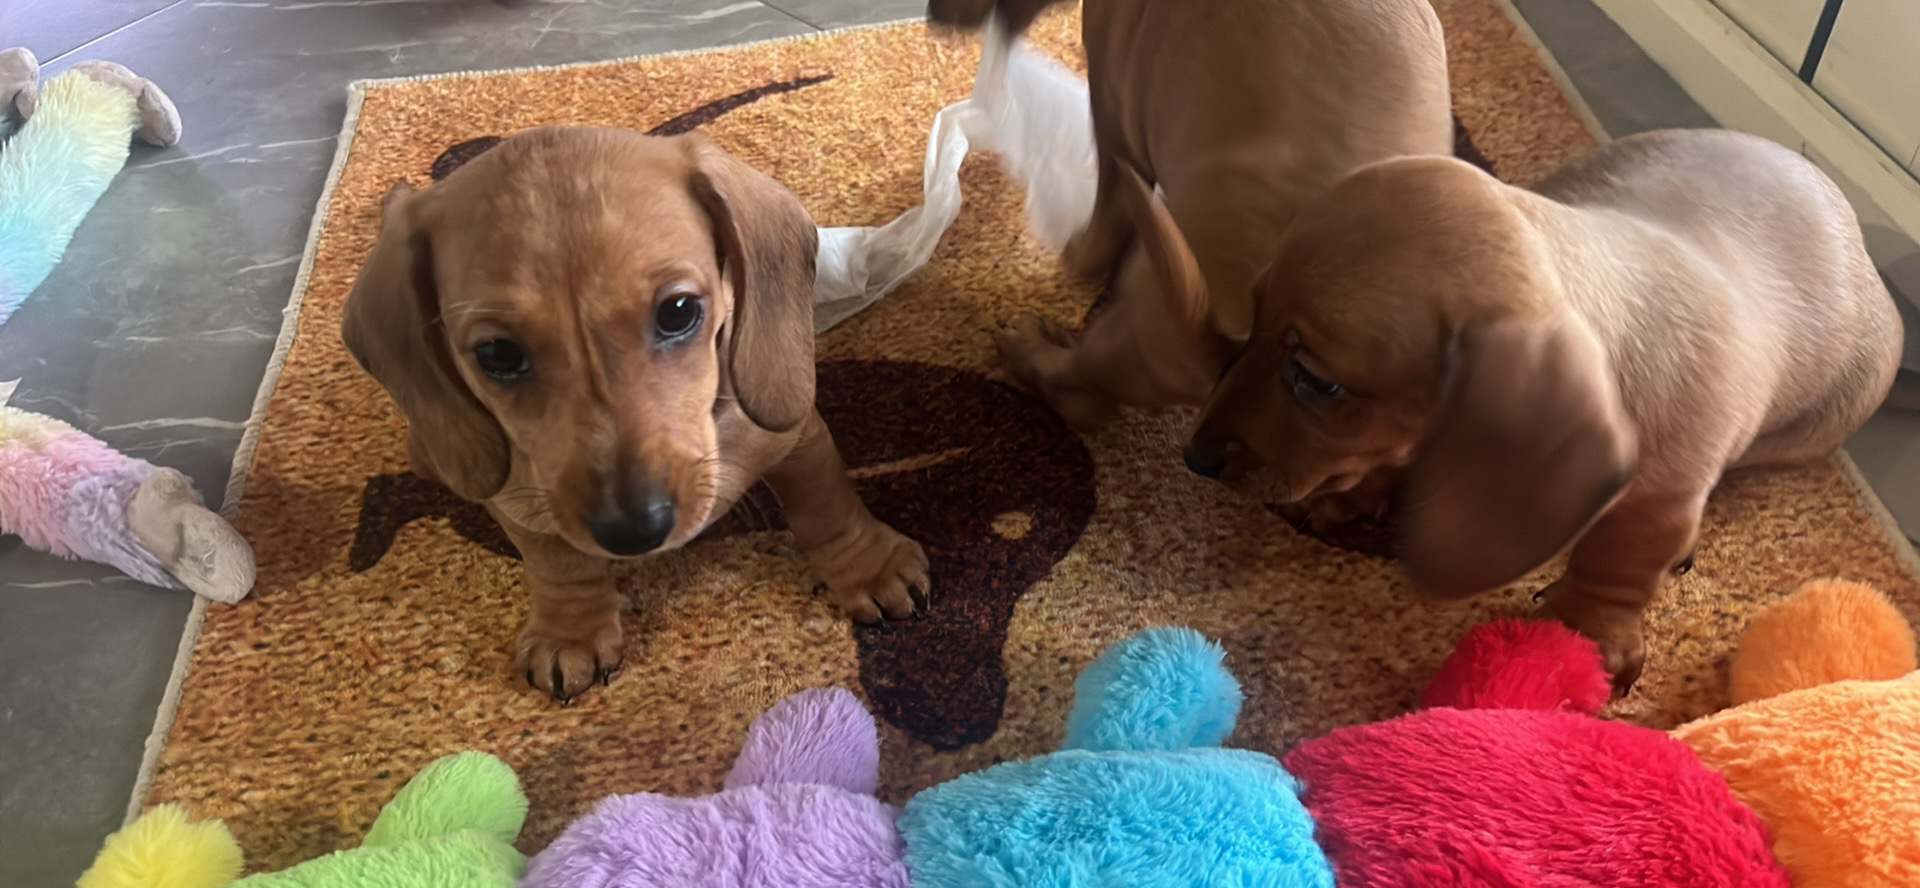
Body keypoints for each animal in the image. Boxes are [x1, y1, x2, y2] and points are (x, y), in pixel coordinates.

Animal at [341, 127, 929, 701]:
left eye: (679, 311)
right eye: (497, 355)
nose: (632, 532)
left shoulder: (794, 436)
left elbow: (825, 505)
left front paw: (867, 566)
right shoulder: (517, 499)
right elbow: (556, 561)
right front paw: (571, 630)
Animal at [928, 0, 1453, 431]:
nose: (931, 16)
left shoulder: (1112, 109)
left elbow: (1106, 214)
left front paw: (1079, 257)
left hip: (1136, 332)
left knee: (1083, 399)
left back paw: (1030, 346)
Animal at [1178, 128, 1905, 688]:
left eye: (1317, 381)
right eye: (1253, 316)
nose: (1194, 457)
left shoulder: (1657, 503)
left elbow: (1615, 561)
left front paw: (1586, 635)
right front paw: (1356, 497)